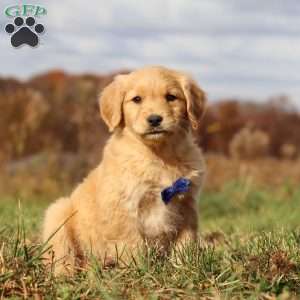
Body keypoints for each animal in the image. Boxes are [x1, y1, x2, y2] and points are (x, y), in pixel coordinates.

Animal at [42, 65, 206, 274]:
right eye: (137, 99)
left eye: (171, 97)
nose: (155, 119)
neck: (157, 155)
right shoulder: (123, 208)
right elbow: (132, 244)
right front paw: (140, 272)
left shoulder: (186, 205)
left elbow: (185, 242)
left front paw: (183, 269)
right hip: (58, 212)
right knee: (62, 256)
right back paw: (67, 273)